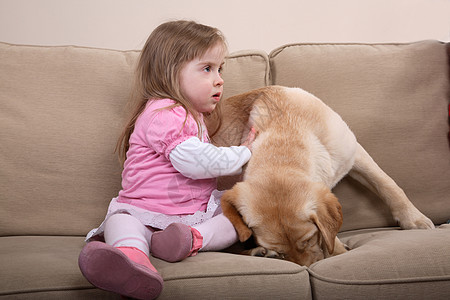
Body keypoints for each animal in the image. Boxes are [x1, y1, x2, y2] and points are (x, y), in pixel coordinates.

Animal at [208, 85, 436, 266]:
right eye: (282, 252)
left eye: (308, 239)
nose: (306, 268)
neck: (284, 145)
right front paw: (339, 251)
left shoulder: (354, 153)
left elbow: (387, 183)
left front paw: (414, 219)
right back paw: (258, 253)